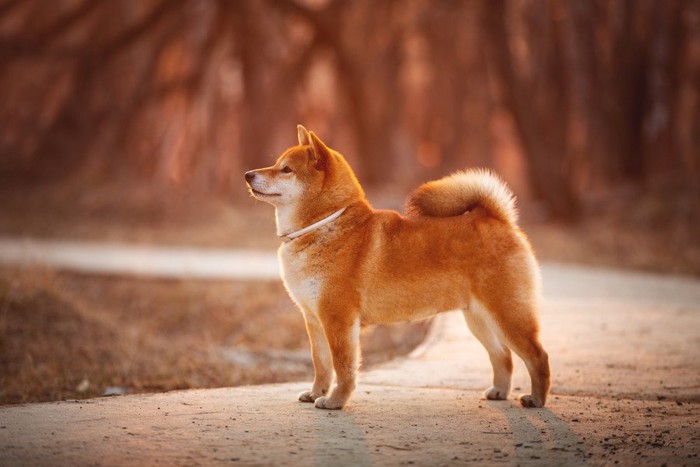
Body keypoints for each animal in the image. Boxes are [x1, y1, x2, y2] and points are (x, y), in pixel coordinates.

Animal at [243, 126, 548, 412]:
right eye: (277, 164)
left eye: (286, 169)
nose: (247, 174)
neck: (324, 225)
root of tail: (497, 219)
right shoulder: (314, 319)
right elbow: (321, 365)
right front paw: (316, 392)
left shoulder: (339, 320)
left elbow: (343, 367)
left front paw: (335, 401)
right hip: (478, 319)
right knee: (503, 356)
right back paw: (499, 391)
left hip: (508, 314)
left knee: (537, 356)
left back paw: (536, 398)